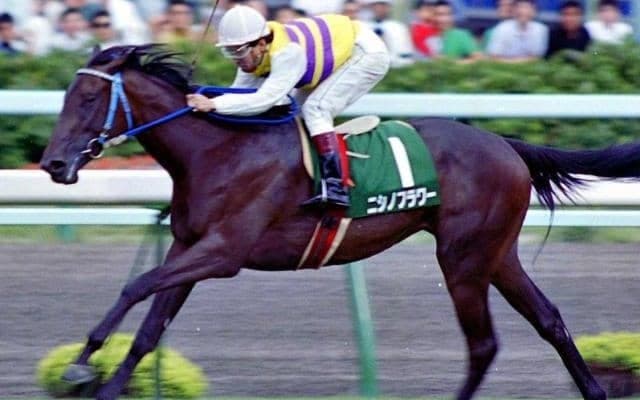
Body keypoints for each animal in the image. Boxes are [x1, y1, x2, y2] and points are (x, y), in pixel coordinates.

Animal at [40, 45, 640, 400]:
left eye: (88, 96)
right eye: (67, 95)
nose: (53, 165)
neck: (216, 152)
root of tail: (505, 144)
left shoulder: (222, 253)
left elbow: (134, 286)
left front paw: (80, 364)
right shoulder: (187, 248)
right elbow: (148, 328)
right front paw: (104, 381)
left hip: (463, 258)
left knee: (484, 344)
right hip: (497, 254)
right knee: (549, 320)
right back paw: (595, 390)